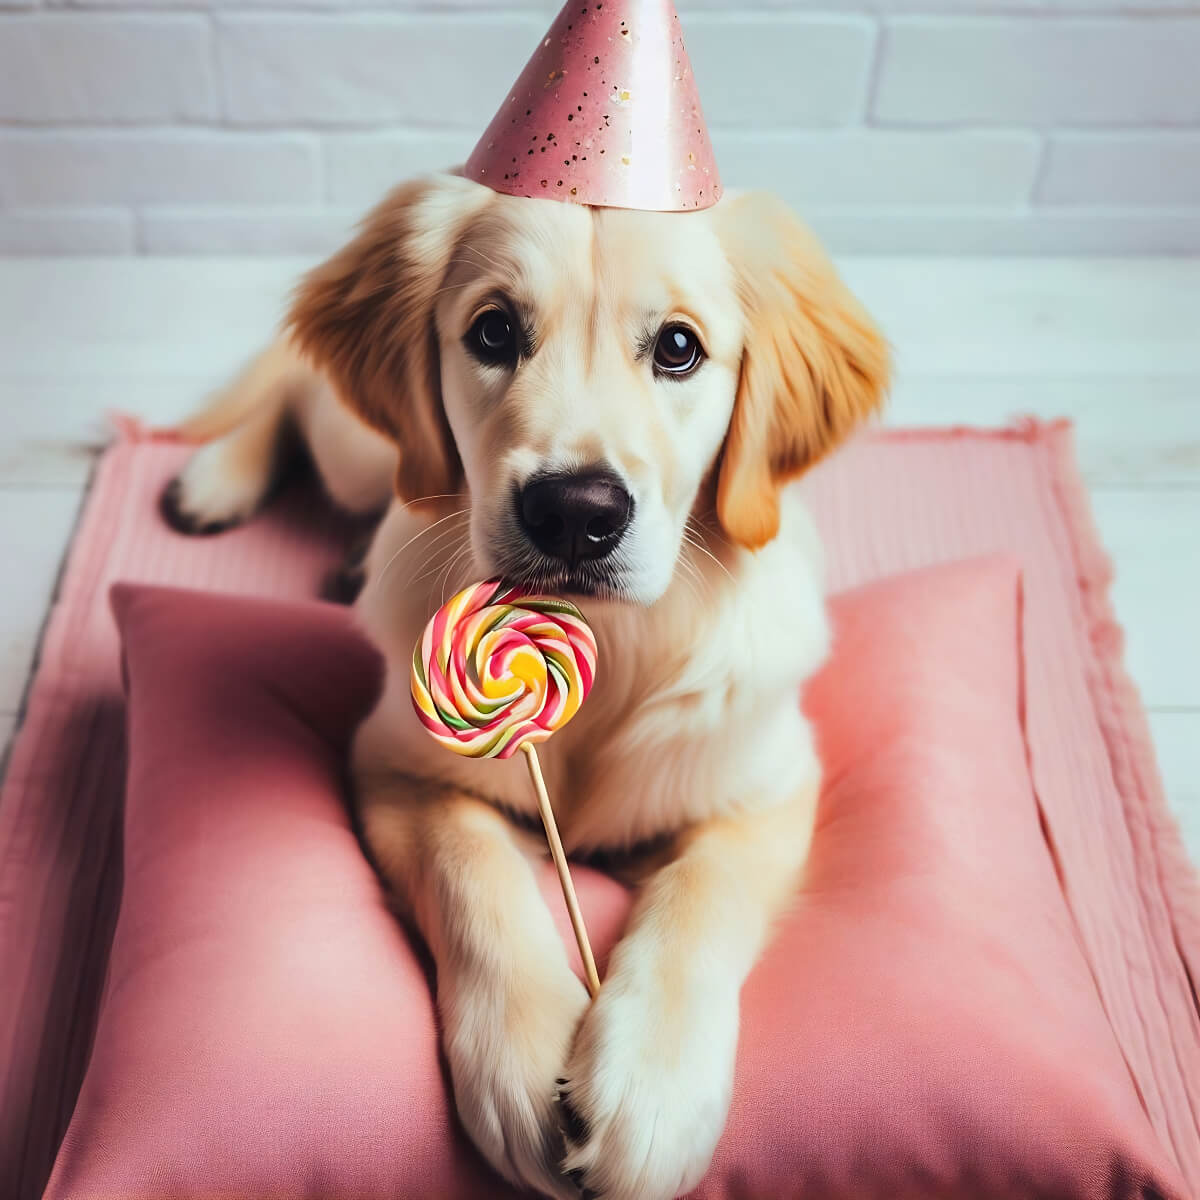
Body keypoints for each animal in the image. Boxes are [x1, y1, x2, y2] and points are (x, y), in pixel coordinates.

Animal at [162, 171, 892, 1200]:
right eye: (494, 331)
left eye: (679, 347)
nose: (576, 513)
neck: (611, 646)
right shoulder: (401, 767)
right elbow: (473, 872)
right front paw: (524, 1066)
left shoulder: (768, 788)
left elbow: (702, 894)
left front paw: (653, 1091)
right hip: (366, 457)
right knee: (297, 385)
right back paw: (215, 476)